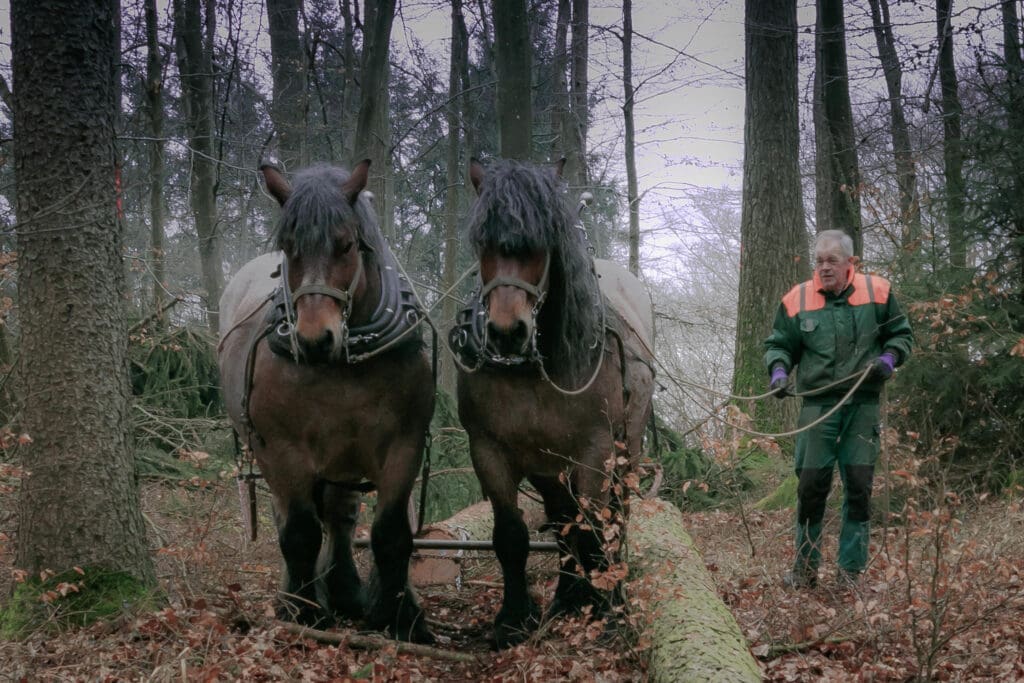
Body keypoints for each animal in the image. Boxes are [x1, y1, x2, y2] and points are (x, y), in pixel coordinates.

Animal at [218, 162, 434, 643]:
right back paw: (302, 595)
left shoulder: (403, 444)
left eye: (347, 243)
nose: (315, 340)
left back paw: (346, 591)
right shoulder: (283, 450)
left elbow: (392, 533)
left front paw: (400, 617)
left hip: (343, 455)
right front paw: (305, 613)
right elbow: (299, 533)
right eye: (287, 247)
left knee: (340, 516)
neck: (343, 365)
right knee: (294, 519)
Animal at [450, 157, 655, 651]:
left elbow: (596, 529)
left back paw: (608, 590)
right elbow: (511, 535)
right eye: (482, 241)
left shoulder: (595, 451)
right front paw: (512, 619)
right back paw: (568, 596)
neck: (531, 368)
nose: (507, 332)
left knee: (613, 517)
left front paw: (608, 612)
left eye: (541, 242)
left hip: (625, 450)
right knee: (564, 520)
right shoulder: (488, 449)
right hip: (550, 467)